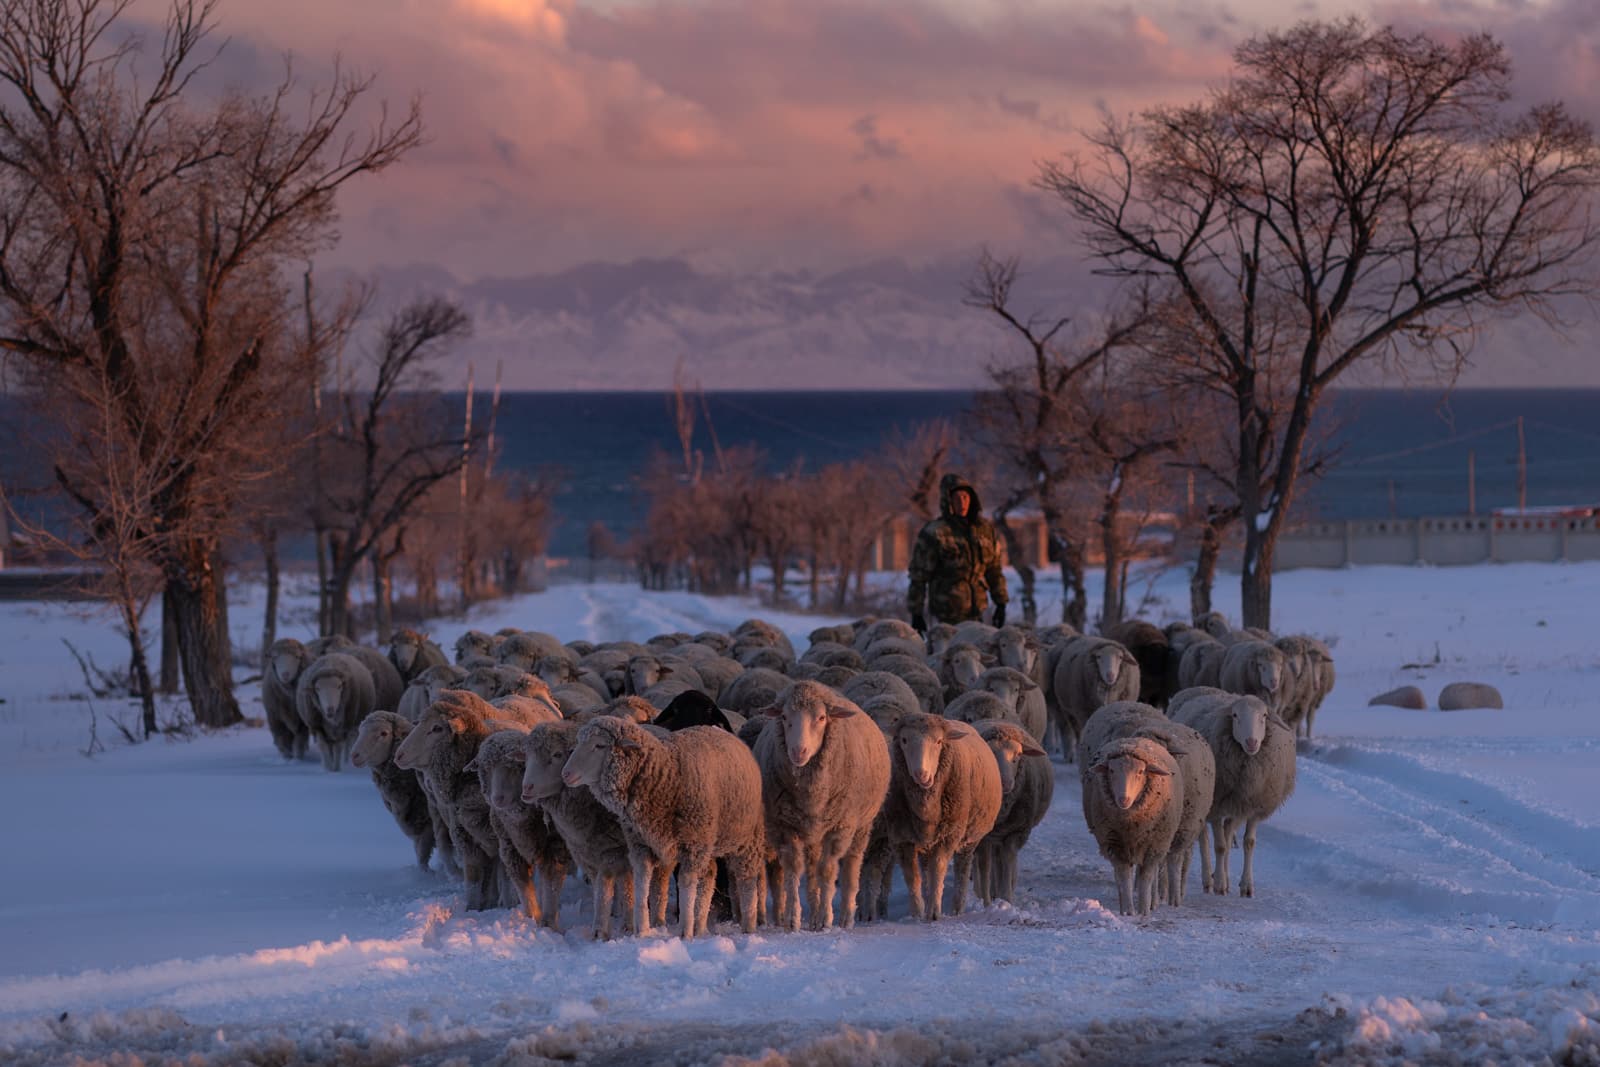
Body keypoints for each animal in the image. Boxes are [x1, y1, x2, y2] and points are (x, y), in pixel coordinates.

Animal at [515, 723, 633, 940]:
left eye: (557, 754)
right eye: (526, 756)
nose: (526, 787)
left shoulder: (612, 850)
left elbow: (608, 888)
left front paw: (604, 932)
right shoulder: (588, 853)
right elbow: (601, 888)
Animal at [560, 716, 764, 934]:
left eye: (599, 745)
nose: (566, 774)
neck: (666, 775)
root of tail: (721, 730)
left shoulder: (692, 847)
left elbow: (686, 889)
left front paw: (685, 932)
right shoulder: (641, 845)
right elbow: (642, 885)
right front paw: (641, 930)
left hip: (745, 837)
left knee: (747, 881)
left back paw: (748, 926)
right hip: (708, 841)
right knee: (709, 876)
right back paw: (700, 927)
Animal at [876, 713, 998, 921]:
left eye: (939, 741)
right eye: (904, 740)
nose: (921, 774)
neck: (926, 807)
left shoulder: (949, 835)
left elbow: (939, 870)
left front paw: (934, 912)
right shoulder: (902, 837)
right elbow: (912, 877)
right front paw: (917, 913)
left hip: (969, 838)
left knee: (961, 870)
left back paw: (957, 909)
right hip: (927, 843)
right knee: (926, 870)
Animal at [966, 723, 1056, 908]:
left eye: (1018, 755)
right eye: (990, 753)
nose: (1006, 783)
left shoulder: (1016, 832)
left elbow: (1007, 862)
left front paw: (1006, 898)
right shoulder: (984, 837)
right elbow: (984, 866)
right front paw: (986, 902)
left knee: (1000, 860)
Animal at [1081, 735, 1184, 921]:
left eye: (1140, 772)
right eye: (1112, 771)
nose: (1123, 799)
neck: (1131, 825)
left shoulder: (1154, 847)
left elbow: (1145, 880)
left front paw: (1144, 911)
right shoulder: (1115, 845)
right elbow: (1124, 879)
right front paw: (1128, 912)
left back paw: (1152, 903)